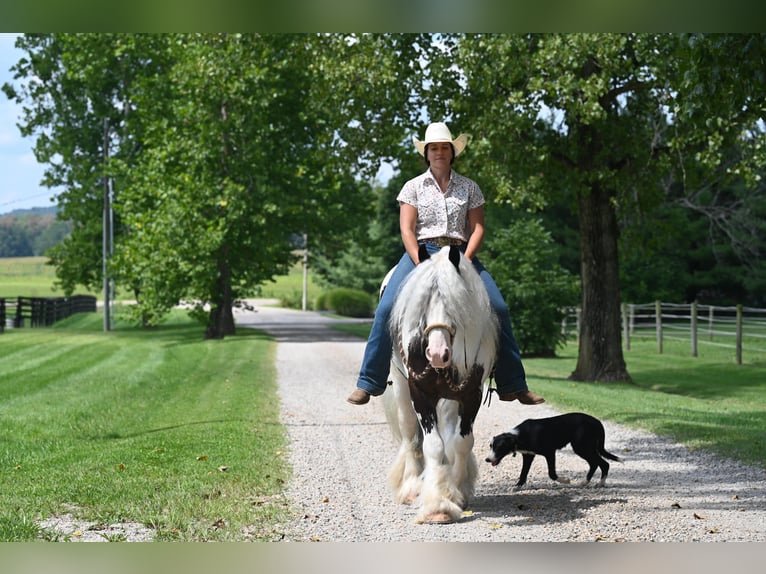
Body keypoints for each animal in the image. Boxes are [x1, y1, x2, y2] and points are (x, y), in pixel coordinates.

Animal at [388, 245, 500, 524]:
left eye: (454, 305)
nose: (437, 354)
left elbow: (461, 442)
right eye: (422, 304)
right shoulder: (420, 393)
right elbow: (433, 444)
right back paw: (412, 487)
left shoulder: (471, 393)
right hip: (401, 388)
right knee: (409, 433)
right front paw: (438, 506)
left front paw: (457, 492)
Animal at [486, 414, 624, 490]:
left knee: (602, 463)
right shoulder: (528, 455)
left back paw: (595, 483)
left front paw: (566, 480)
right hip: (585, 447)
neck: (519, 436)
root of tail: (597, 421)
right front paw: (517, 486)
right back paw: (590, 483)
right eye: (490, 446)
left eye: (499, 447)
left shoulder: (550, 452)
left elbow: (552, 474)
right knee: (598, 464)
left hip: (581, 447)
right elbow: (523, 473)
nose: (487, 460)